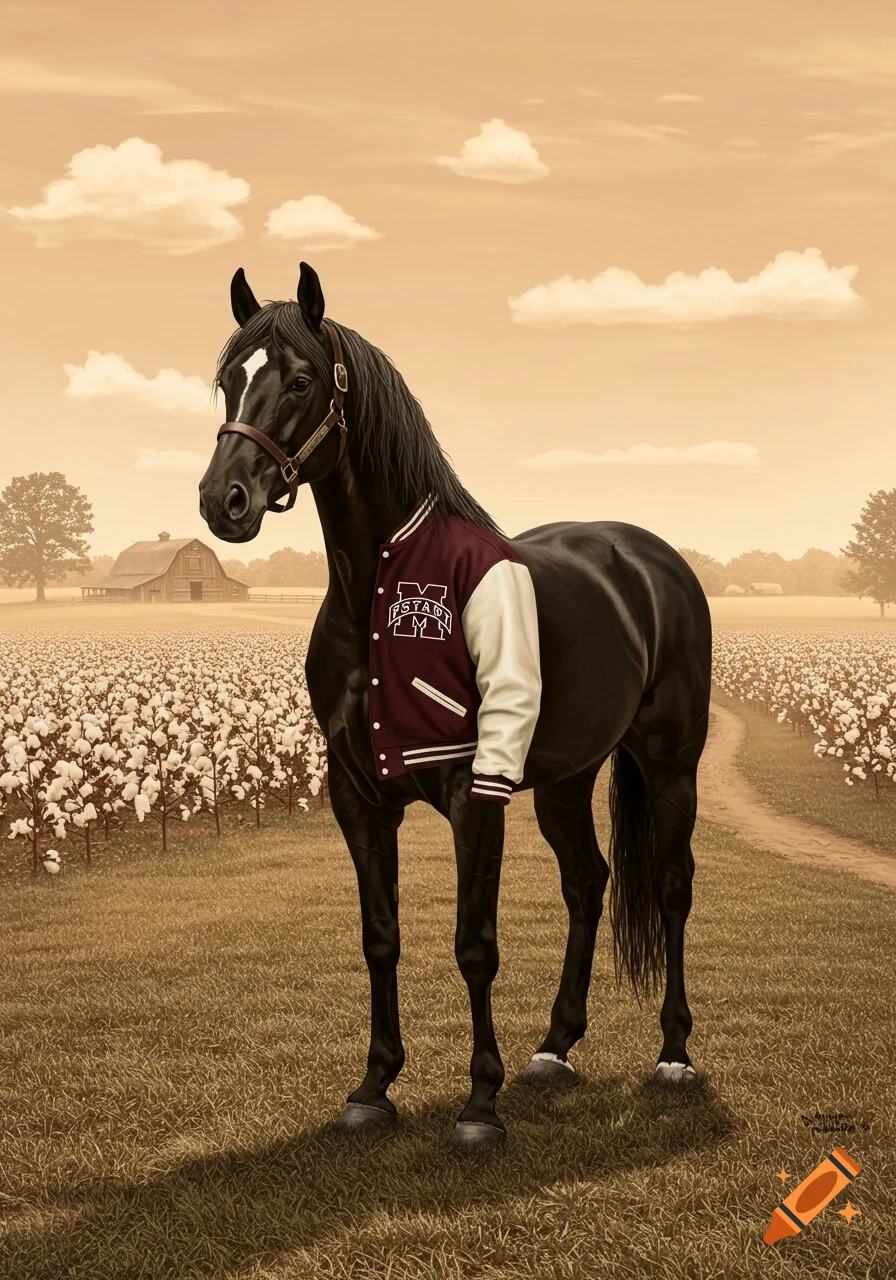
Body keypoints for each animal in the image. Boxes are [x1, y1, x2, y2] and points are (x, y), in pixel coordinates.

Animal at [199, 263, 712, 1148]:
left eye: (298, 380)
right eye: (229, 379)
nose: (221, 501)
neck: (380, 589)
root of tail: (650, 559)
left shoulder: (476, 792)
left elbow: (475, 944)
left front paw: (479, 1105)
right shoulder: (359, 798)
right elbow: (380, 937)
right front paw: (373, 1087)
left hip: (670, 765)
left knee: (673, 885)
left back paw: (674, 1053)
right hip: (567, 779)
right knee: (588, 882)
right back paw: (555, 1047)